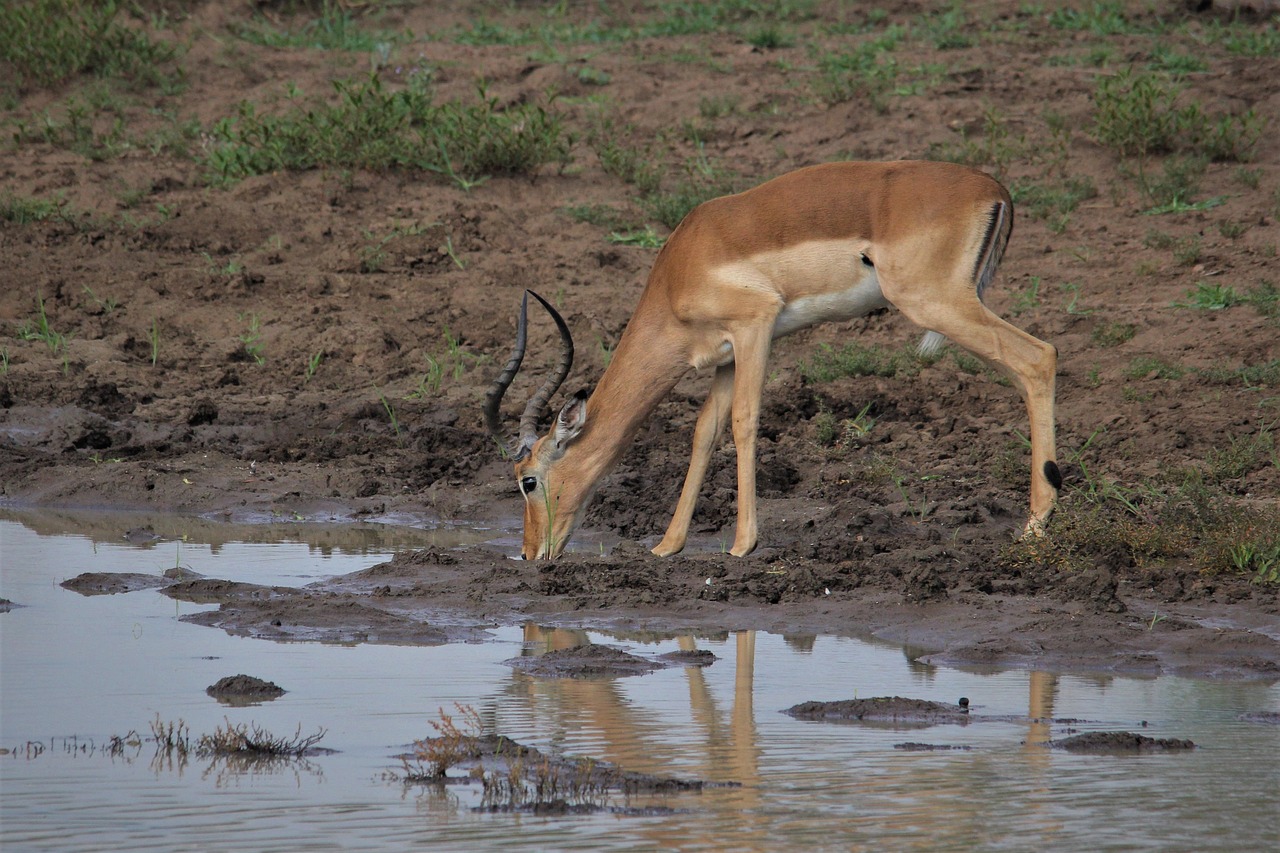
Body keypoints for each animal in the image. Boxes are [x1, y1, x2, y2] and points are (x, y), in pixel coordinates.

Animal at [485, 160, 1060, 560]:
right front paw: (667, 546)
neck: (680, 269)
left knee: (1039, 357)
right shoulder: (723, 357)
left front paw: (743, 544)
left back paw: (1036, 526)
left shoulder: (755, 328)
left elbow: (744, 422)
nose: (530, 554)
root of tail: (993, 188)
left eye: (527, 480)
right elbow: (704, 431)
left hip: (934, 303)